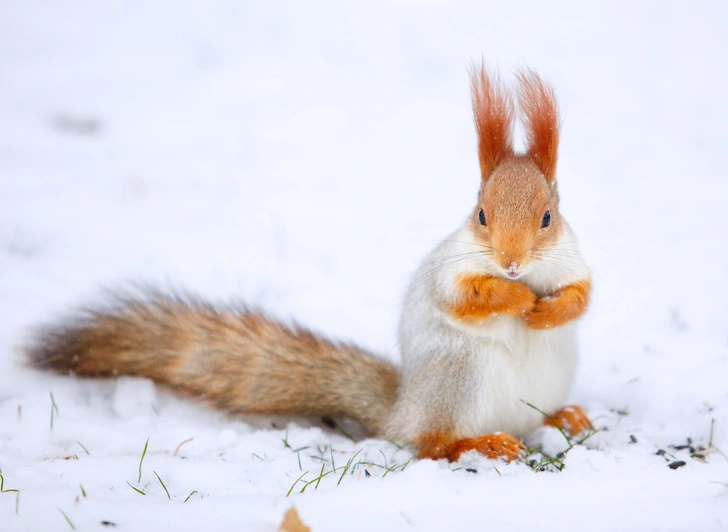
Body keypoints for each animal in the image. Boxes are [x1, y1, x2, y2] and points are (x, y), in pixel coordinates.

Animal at [25, 65, 592, 462]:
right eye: (480, 214)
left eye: (547, 217)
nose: (511, 264)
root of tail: (402, 410)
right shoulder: (448, 272)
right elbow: (464, 297)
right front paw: (515, 298)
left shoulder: (575, 261)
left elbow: (581, 298)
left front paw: (548, 311)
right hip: (457, 382)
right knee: (431, 443)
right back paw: (477, 444)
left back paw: (566, 417)